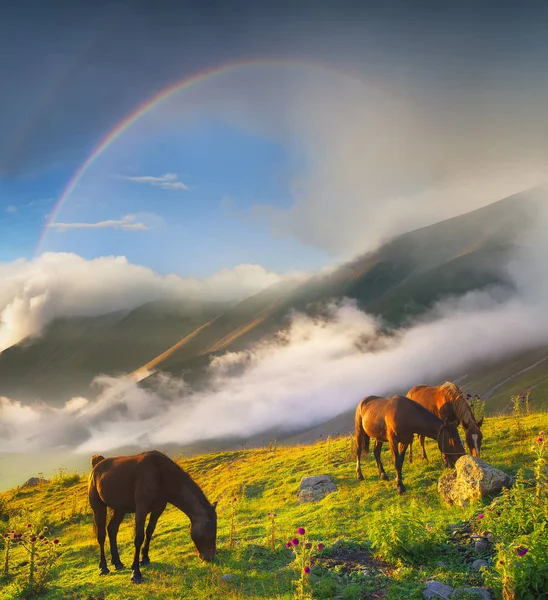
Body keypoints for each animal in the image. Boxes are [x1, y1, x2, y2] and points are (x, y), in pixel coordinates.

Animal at [89, 452, 217, 584]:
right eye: (209, 530)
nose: (209, 557)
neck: (160, 473)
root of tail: (97, 465)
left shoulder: (158, 509)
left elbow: (149, 531)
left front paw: (145, 559)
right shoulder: (141, 508)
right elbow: (139, 538)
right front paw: (136, 573)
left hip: (120, 509)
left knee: (112, 529)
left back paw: (117, 562)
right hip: (98, 507)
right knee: (101, 535)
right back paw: (103, 568)